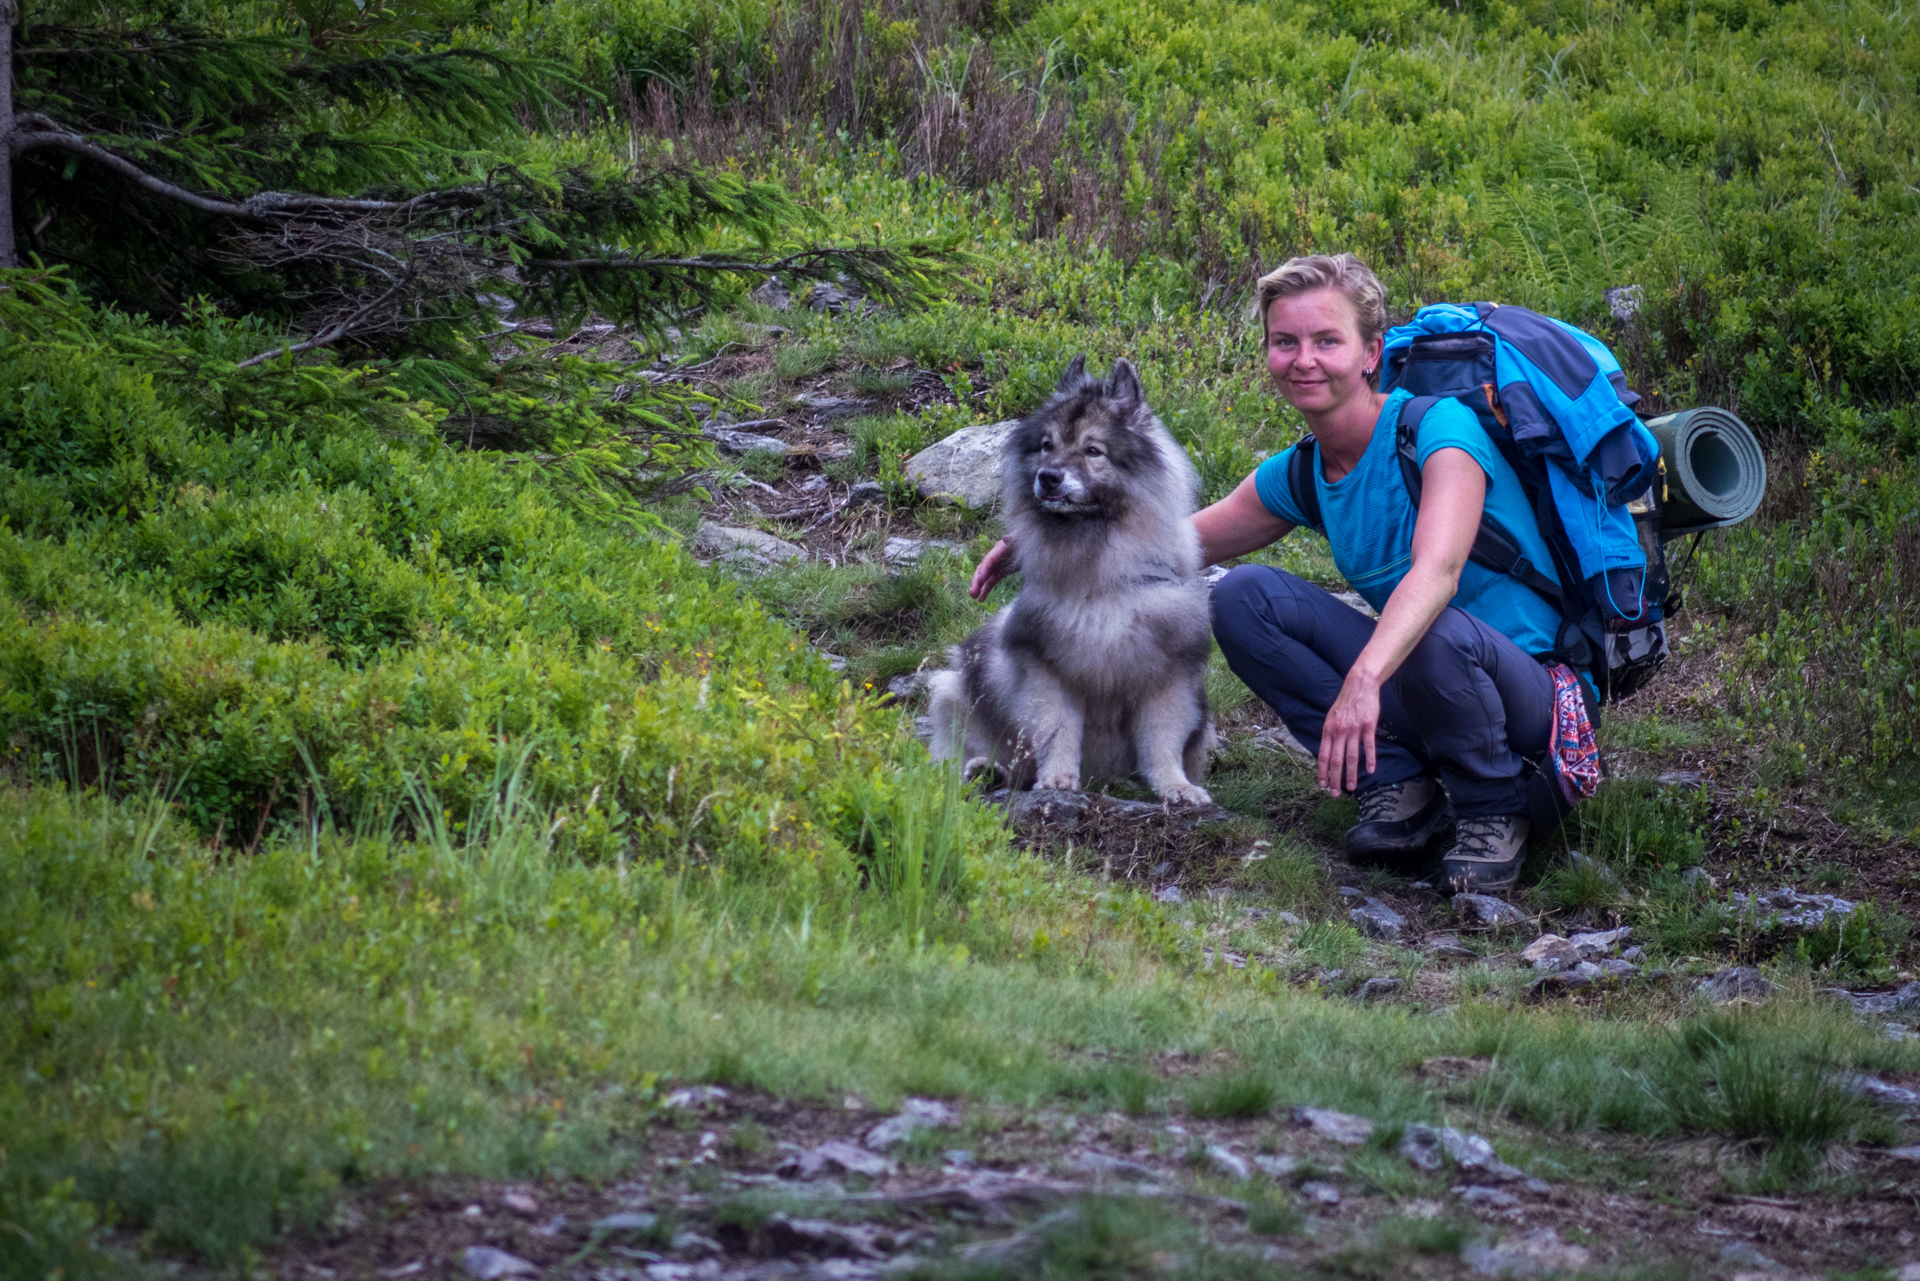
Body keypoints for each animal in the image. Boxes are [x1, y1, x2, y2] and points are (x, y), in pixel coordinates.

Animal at [925, 355, 1213, 806]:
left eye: (1093, 450)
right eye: (1047, 445)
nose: (1048, 477)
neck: (1099, 572)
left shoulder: (1169, 677)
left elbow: (1162, 742)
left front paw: (1176, 787)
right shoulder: (1048, 672)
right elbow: (1057, 731)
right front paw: (1058, 780)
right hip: (952, 689)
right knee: (961, 758)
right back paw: (985, 771)